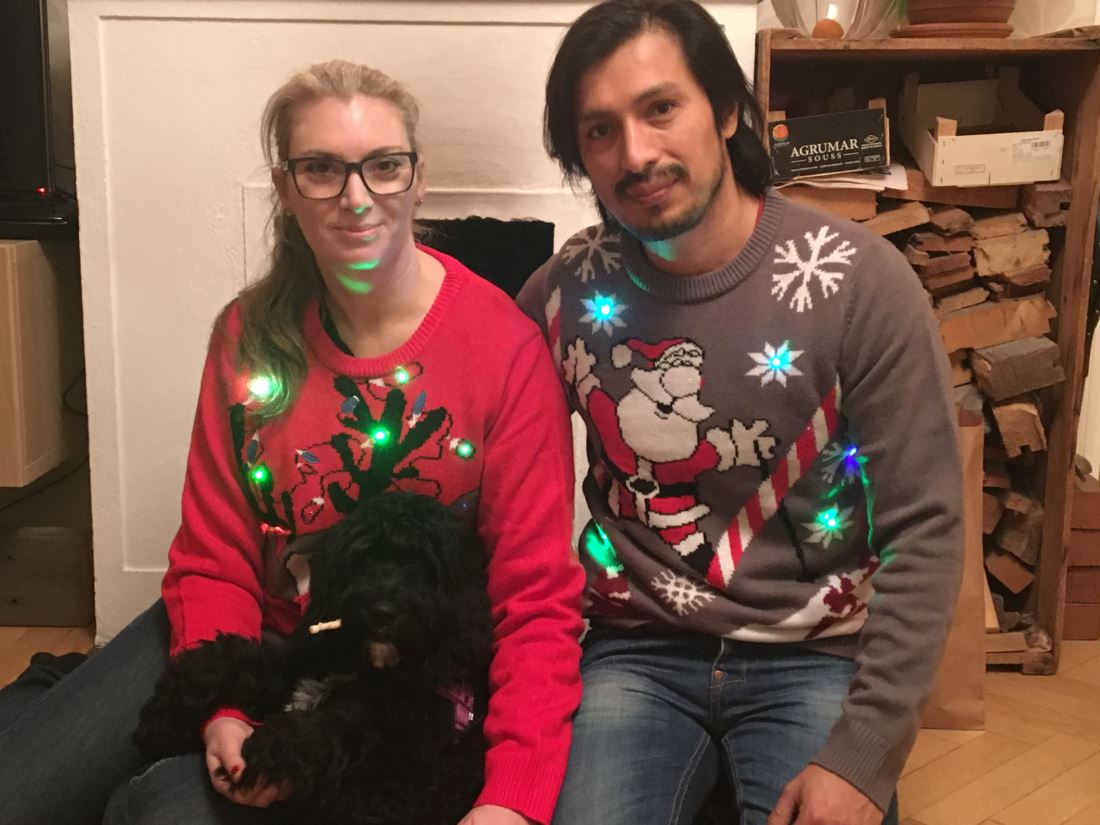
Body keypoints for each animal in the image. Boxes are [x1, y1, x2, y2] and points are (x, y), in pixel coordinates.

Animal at [135, 491, 493, 825]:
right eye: (362, 556)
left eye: (423, 564)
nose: (382, 612)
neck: (369, 666)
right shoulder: (303, 660)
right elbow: (236, 661)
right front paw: (163, 714)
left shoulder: (403, 777)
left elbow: (345, 727)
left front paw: (274, 744)